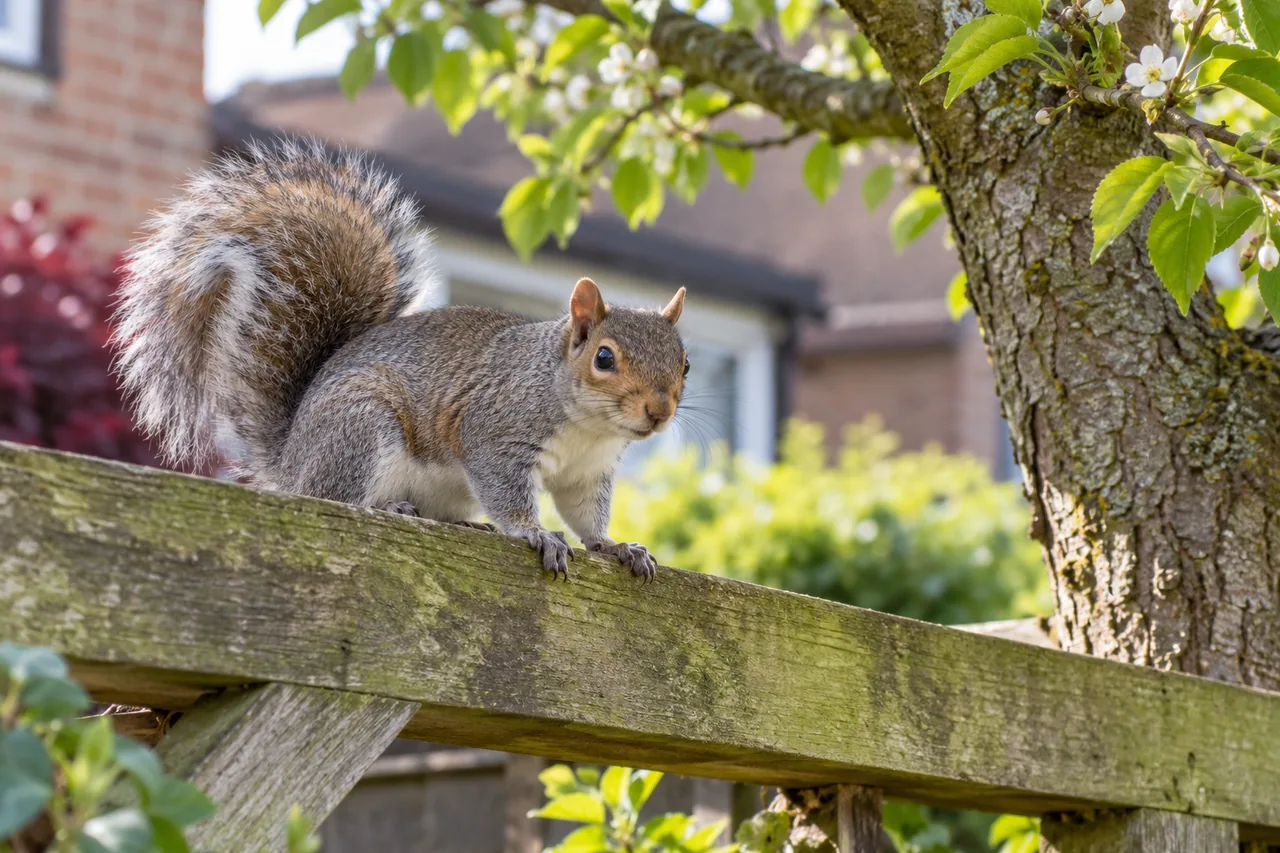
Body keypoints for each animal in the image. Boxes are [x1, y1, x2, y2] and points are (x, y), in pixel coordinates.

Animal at [112, 137, 690, 582]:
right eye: (604, 358)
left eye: (685, 365)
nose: (659, 412)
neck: (587, 426)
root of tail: (291, 461)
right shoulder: (495, 429)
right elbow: (507, 490)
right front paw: (534, 532)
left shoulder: (588, 472)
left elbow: (587, 515)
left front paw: (616, 545)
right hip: (361, 427)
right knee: (338, 497)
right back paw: (388, 505)